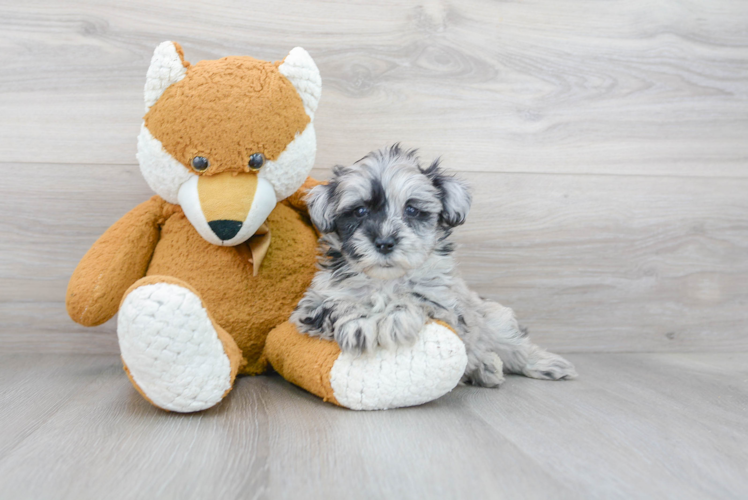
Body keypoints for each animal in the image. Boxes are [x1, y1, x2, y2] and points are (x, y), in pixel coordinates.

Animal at [292, 146, 580, 386]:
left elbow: (417, 299)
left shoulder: (449, 308)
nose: (384, 243)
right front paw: (360, 324)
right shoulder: (312, 306)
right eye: (360, 211)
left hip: (494, 320)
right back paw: (486, 368)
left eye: (411, 210)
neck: (386, 280)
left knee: (514, 346)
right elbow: (339, 304)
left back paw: (543, 364)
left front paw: (392, 317)